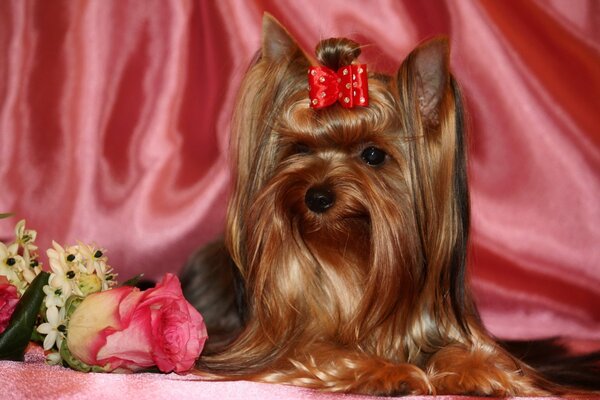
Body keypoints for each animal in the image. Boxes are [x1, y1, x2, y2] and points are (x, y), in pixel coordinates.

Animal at [182, 14, 596, 396]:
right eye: (299, 148)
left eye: (373, 155)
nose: (317, 197)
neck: (352, 255)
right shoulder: (277, 343)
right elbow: (315, 348)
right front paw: (385, 371)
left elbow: (462, 350)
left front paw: (482, 371)